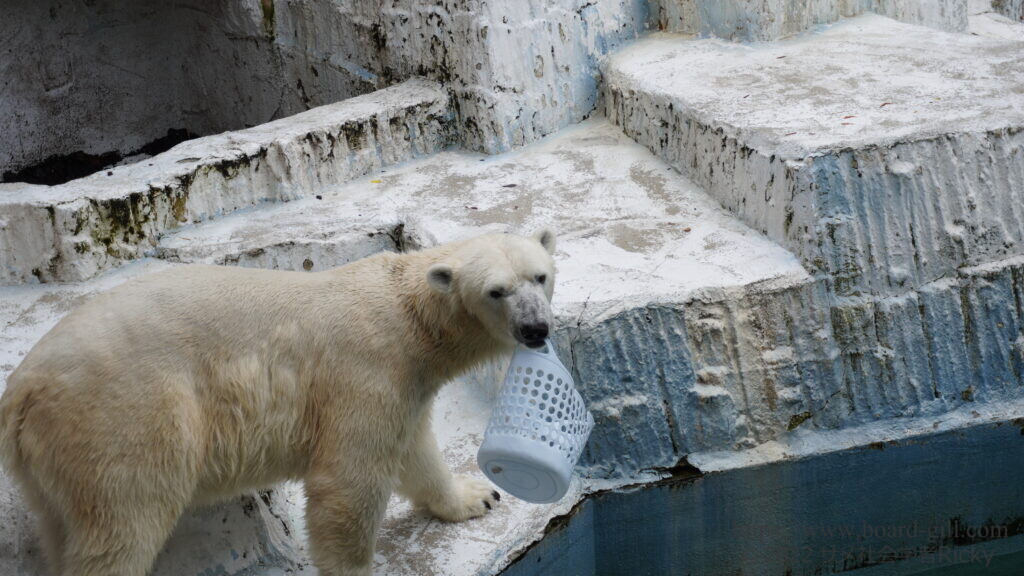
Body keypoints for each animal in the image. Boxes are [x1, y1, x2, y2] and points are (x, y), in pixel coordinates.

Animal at [0, 228, 557, 573]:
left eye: (541, 276)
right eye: (496, 291)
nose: (536, 328)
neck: (409, 317)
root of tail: (21, 389)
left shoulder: (404, 384)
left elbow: (415, 451)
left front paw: (476, 496)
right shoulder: (365, 371)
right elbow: (348, 484)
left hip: (55, 458)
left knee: (63, 526)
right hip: (124, 415)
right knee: (124, 522)